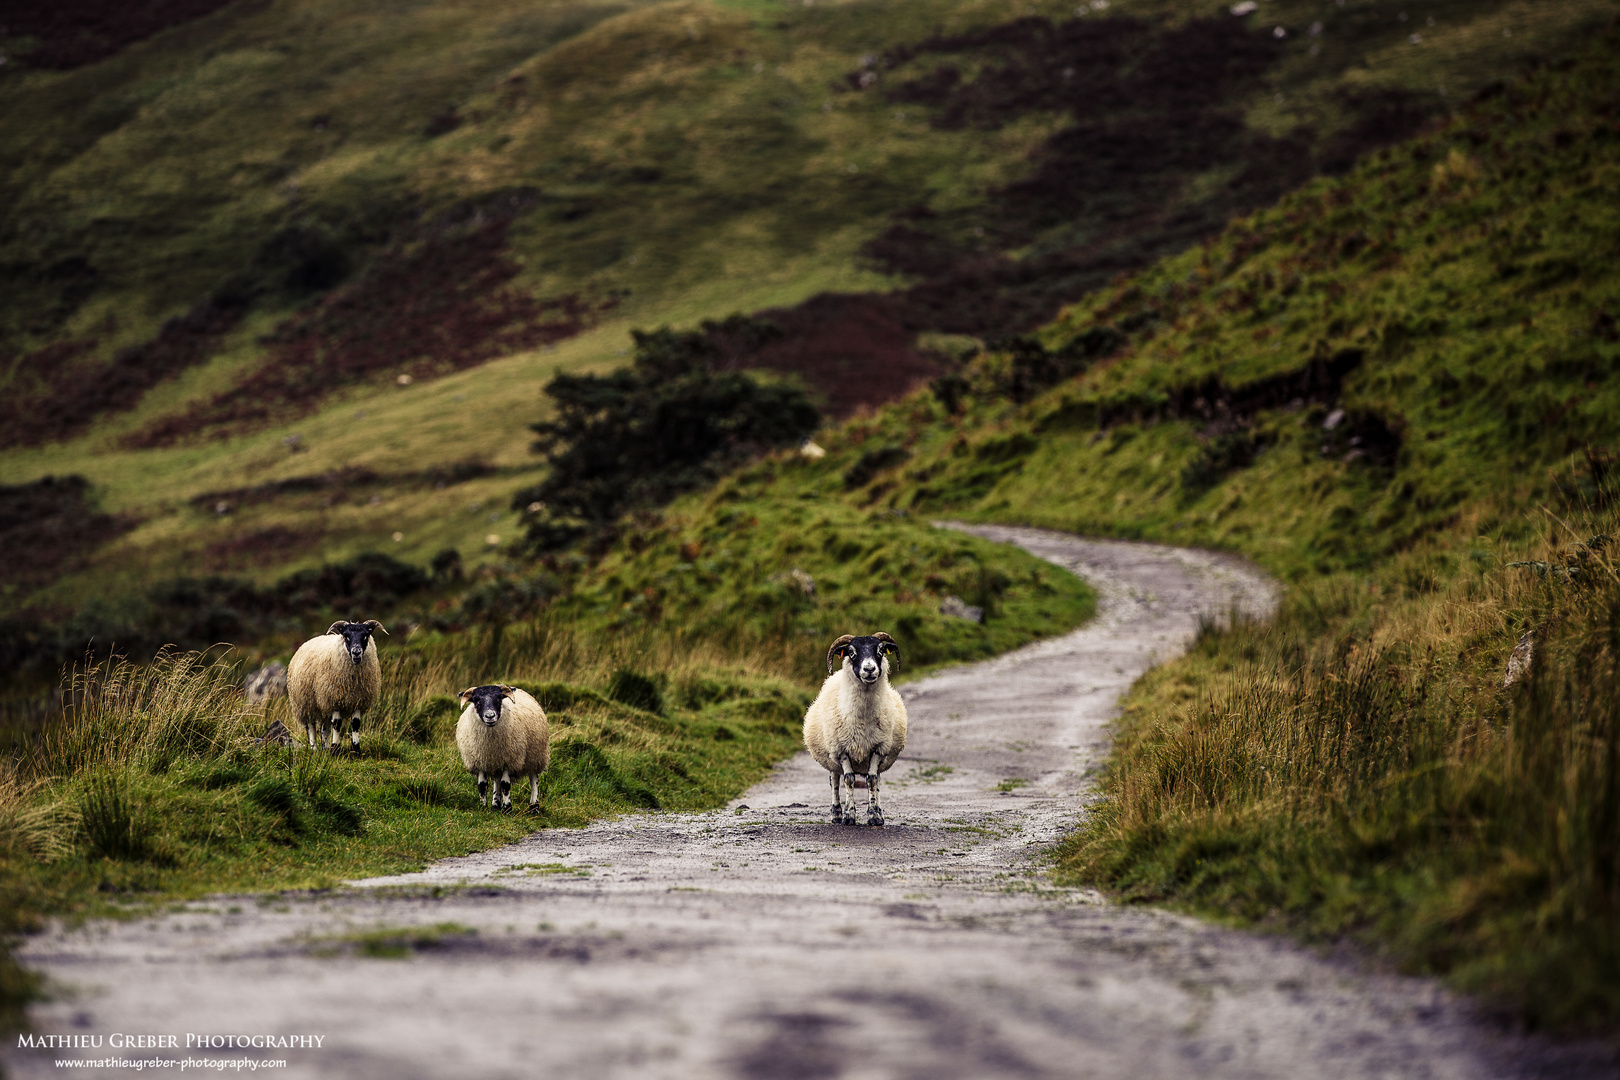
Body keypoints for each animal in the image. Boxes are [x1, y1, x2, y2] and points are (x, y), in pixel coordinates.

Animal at [286, 621, 383, 757]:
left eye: (365, 636)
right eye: (346, 636)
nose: (356, 652)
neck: (353, 681)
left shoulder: (358, 700)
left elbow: (355, 724)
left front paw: (356, 750)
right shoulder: (334, 698)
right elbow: (337, 724)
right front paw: (335, 749)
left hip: (322, 705)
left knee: (325, 727)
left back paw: (325, 748)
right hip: (306, 703)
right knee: (311, 726)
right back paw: (314, 748)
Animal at [800, 634, 907, 829]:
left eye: (881, 650)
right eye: (851, 652)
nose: (870, 669)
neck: (863, 718)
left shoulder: (879, 749)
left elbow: (872, 780)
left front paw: (874, 816)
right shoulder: (841, 750)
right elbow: (848, 780)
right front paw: (849, 816)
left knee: (876, 780)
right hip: (831, 757)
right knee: (835, 781)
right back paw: (836, 814)